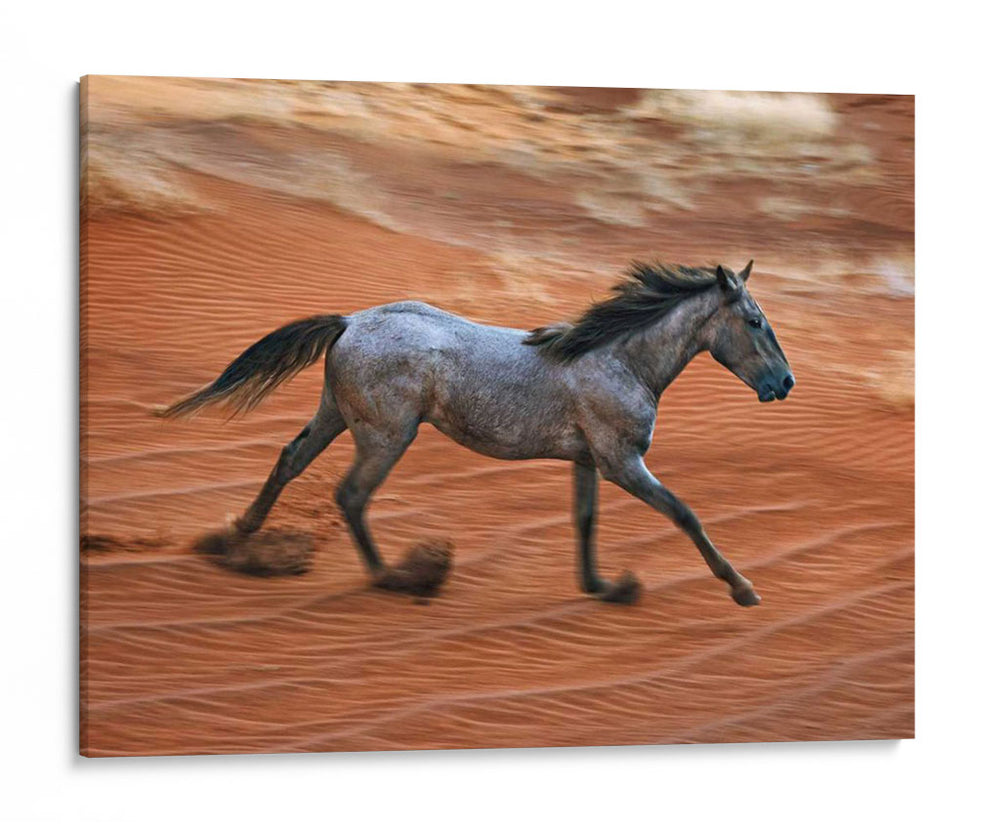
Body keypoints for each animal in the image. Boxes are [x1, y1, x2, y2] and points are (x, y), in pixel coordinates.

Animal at [158, 260, 794, 606]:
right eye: (754, 321)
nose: (785, 383)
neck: (621, 359)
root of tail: (350, 321)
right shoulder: (621, 461)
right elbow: (685, 513)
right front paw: (742, 588)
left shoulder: (588, 460)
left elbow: (585, 520)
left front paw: (603, 586)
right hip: (387, 436)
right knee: (351, 494)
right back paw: (394, 577)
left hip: (336, 414)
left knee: (290, 459)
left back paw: (238, 538)